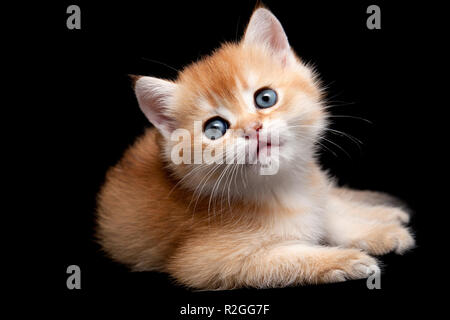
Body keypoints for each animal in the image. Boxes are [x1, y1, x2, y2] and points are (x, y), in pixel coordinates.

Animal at [96, 6, 414, 290]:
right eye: (215, 128)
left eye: (265, 98)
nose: (253, 128)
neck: (284, 187)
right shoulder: (205, 262)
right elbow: (289, 257)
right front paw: (346, 259)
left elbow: (330, 216)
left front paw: (378, 232)